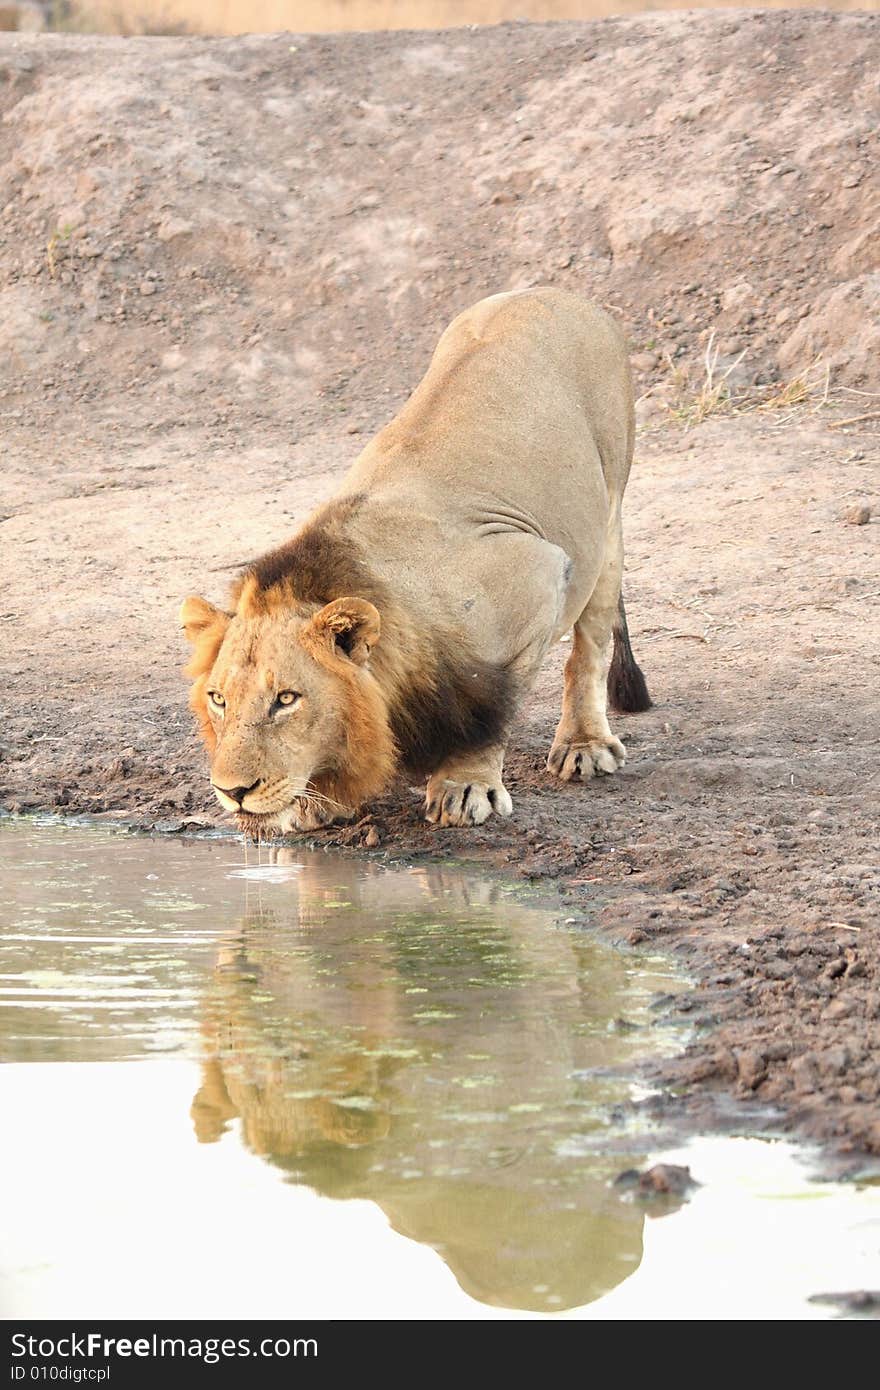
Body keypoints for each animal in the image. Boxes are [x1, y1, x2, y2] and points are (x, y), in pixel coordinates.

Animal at [177, 286, 647, 828]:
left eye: (286, 700)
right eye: (218, 699)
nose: (231, 791)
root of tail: (552, 291)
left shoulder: (537, 573)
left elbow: (493, 710)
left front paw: (466, 784)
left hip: (607, 516)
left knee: (589, 647)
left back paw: (584, 743)